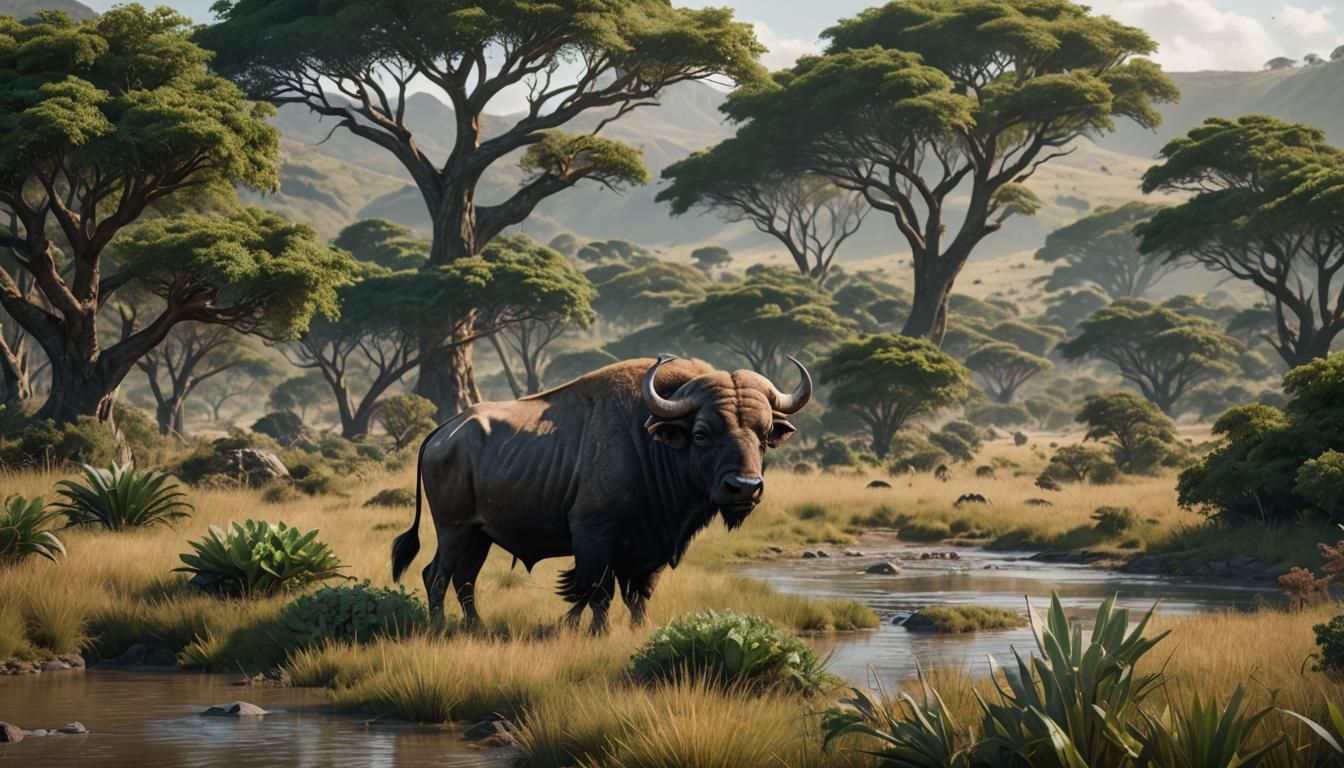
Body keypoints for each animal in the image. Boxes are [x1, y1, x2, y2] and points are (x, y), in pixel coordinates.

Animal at [391, 355, 811, 633]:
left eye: (764, 434)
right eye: (702, 433)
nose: (744, 488)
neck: (649, 440)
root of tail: (445, 431)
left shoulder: (652, 550)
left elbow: (639, 596)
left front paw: (638, 631)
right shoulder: (595, 540)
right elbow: (599, 593)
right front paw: (599, 632)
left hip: (480, 536)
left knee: (464, 581)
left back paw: (476, 627)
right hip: (454, 531)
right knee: (437, 576)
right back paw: (438, 629)